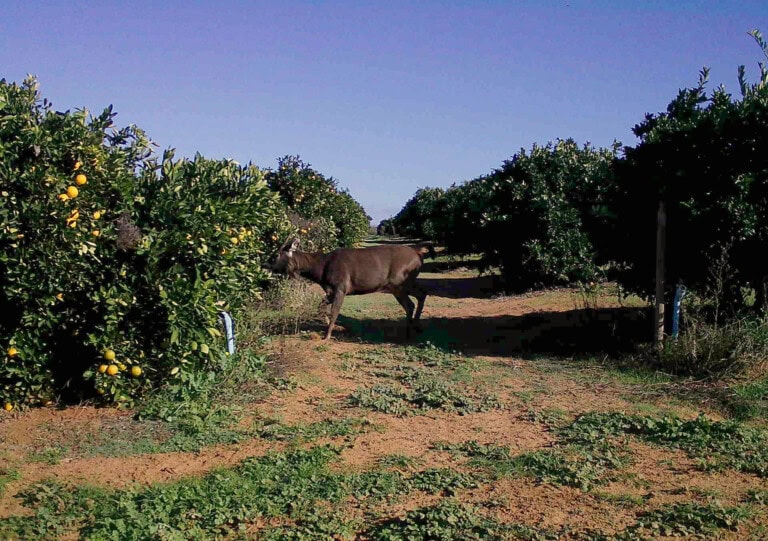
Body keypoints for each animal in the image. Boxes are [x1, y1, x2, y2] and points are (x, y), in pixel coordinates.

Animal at [269, 238, 430, 340]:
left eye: (276, 254)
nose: (266, 263)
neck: (320, 270)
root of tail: (418, 254)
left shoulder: (341, 287)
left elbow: (334, 312)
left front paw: (327, 336)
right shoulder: (330, 290)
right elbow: (320, 307)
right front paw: (331, 326)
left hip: (398, 282)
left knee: (410, 304)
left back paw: (408, 333)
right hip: (406, 282)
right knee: (422, 293)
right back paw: (417, 327)